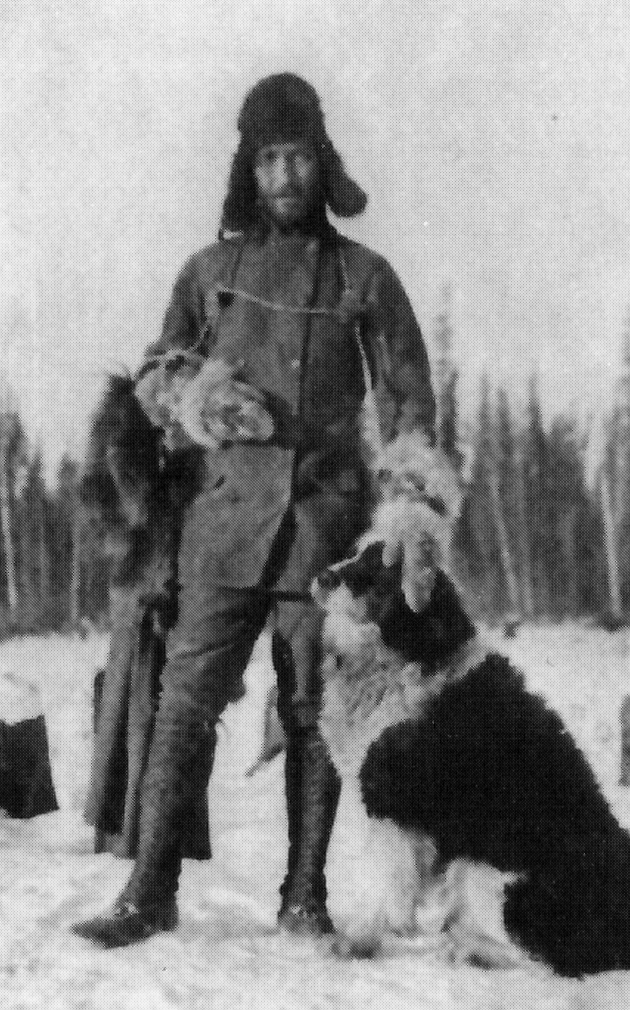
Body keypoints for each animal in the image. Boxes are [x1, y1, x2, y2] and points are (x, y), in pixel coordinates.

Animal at [312, 445, 630, 977]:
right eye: (359, 553)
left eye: (380, 570)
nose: (321, 575)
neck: (402, 656)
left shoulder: (392, 802)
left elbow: (382, 880)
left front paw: (361, 940)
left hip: (497, 875)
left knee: (540, 958)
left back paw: (469, 950)